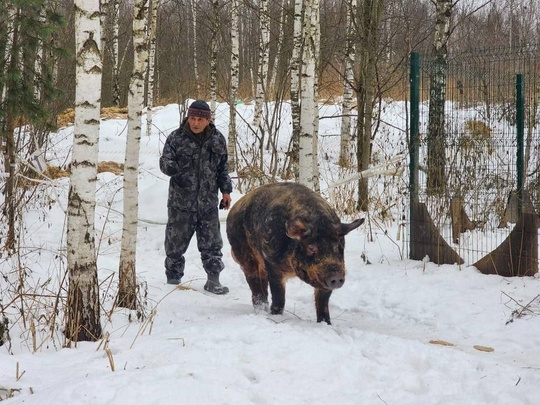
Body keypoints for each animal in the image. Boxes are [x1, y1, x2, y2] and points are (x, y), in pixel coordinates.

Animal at [224, 183, 362, 326]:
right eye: (311, 247)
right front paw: (276, 317)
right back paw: (261, 311)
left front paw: (326, 324)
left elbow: (323, 304)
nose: (336, 276)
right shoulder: (272, 264)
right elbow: (279, 299)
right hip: (243, 254)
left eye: (338, 246)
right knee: (254, 284)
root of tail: (234, 208)